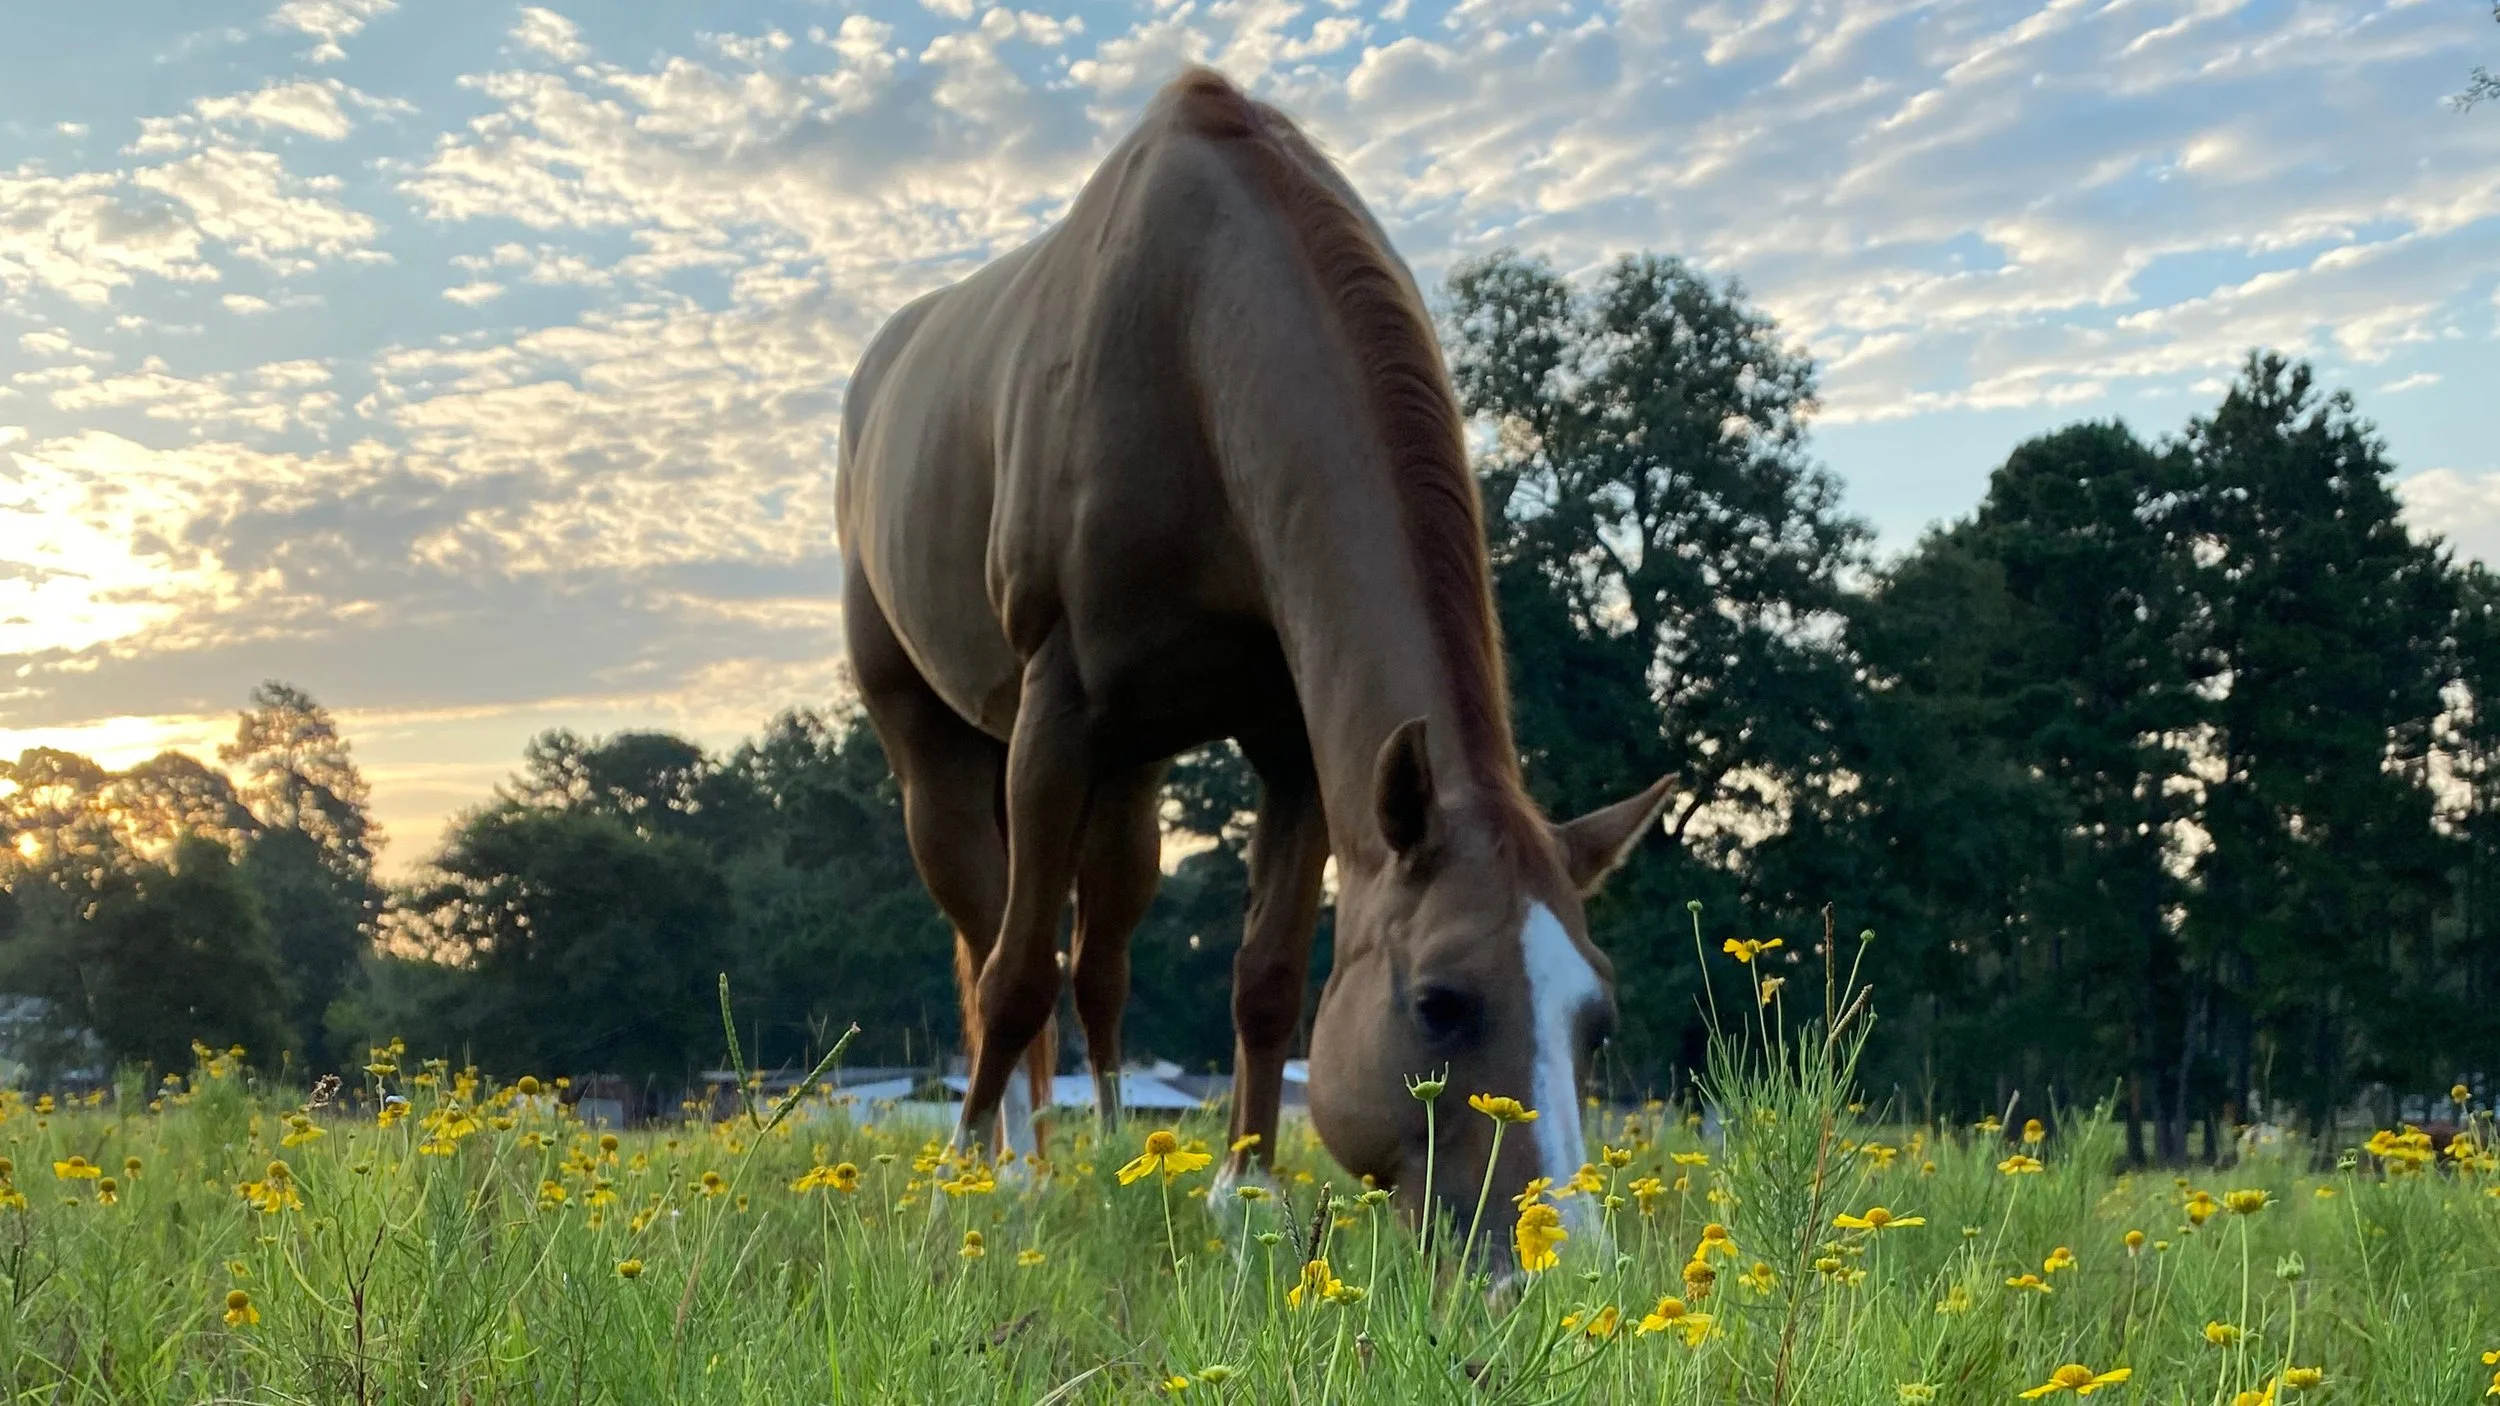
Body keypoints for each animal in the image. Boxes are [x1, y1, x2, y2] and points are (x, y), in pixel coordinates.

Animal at [835, 66, 1674, 1255]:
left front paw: (1241, 1188)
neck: (1186, 345)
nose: (1562, 1258)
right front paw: (960, 1190)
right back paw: (1011, 1164)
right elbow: (1013, 975)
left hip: (1131, 776)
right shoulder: (1056, 715)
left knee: (1100, 964)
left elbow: (1266, 977)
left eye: (1595, 1020)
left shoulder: (1294, 742)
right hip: (939, 752)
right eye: (1441, 1001)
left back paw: (1100, 1149)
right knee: (996, 944)